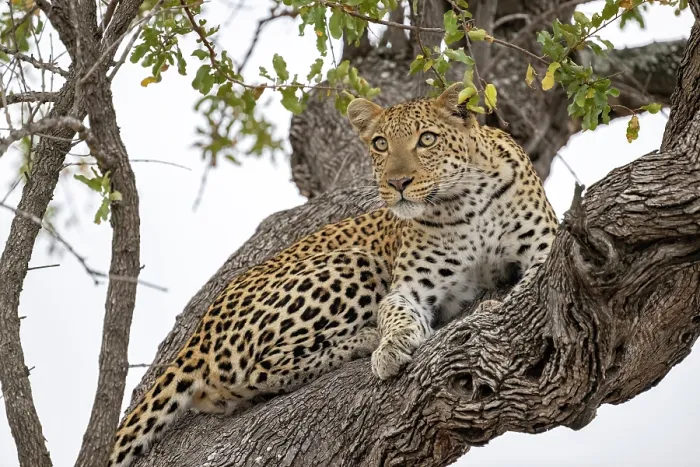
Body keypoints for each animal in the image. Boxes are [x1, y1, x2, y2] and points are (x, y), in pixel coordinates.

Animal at [109, 82, 558, 467]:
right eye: (380, 144)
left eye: (427, 139)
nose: (397, 182)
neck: (465, 201)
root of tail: (198, 335)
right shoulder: (409, 287)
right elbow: (397, 314)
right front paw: (391, 347)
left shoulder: (547, 248)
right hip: (357, 263)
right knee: (258, 370)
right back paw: (365, 339)